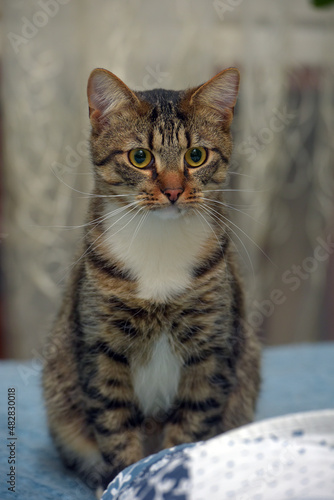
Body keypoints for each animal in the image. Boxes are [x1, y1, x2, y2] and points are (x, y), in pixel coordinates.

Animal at [42, 64, 260, 490]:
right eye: (140, 157)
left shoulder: (212, 347)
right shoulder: (100, 345)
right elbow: (115, 423)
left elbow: (190, 424)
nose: (173, 191)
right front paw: (124, 478)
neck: (159, 244)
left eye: (196, 155)